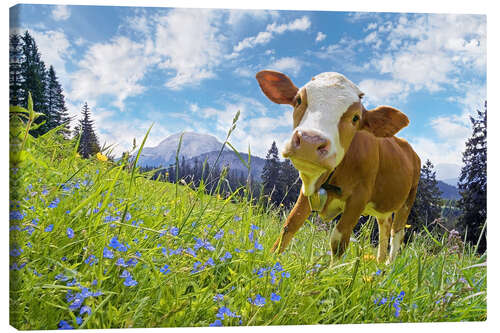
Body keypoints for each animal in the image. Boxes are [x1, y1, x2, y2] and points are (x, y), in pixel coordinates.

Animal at [256, 70, 420, 264]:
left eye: (356, 118)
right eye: (298, 100)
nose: (310, 141)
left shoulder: (359, 197)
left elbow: (338, 242)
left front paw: (327, 272)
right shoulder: (308, 188)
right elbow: (290, 224)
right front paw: (270, 261)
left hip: (408, 199)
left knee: (397, 234)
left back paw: (387, 266)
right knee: (384, 226)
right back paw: (380, 263)